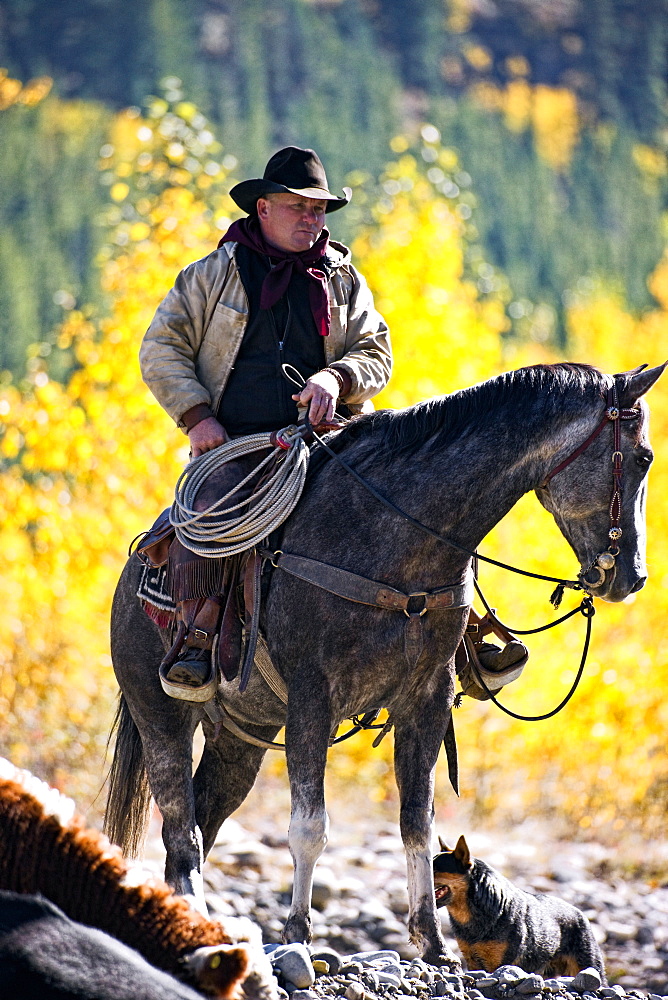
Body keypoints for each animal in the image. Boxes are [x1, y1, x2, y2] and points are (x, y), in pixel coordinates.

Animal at [104, 364, 664, 964]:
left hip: (240, 738)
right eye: (643, 457)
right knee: (181, 829)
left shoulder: (426, 700)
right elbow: (309, 827)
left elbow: (417, 821)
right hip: (161, 714)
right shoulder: (312, 699)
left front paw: (432, 942)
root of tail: (136, 568)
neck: (393, 537)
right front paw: (296, 934)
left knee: (204, 822)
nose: (631, 576)